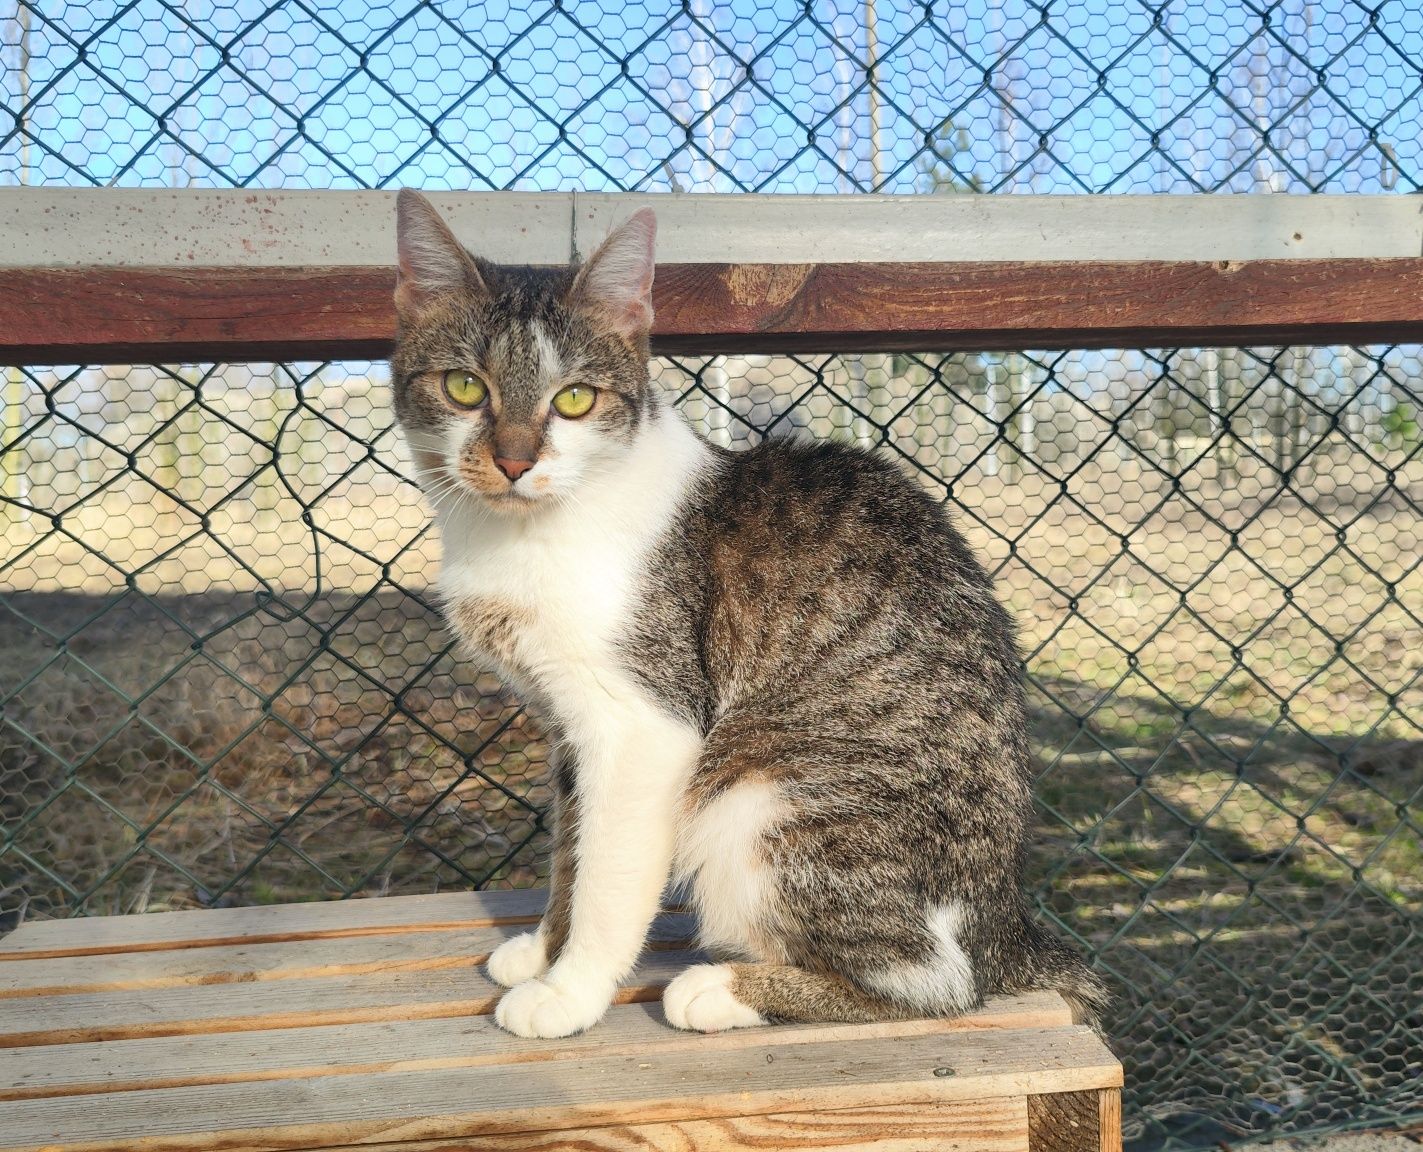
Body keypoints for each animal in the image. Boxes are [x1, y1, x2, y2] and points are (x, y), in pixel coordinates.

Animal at [392, 183, 1109, 1035]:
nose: (512, 459)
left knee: (934, 986)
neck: (517, 531)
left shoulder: (644, 724)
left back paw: (724, 990)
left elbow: (607, 876)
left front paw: (571, 991)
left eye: (574, 400)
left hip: (760, 796)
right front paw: (541, 951)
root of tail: (1006, 928)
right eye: (465, 387)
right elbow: (570, 850)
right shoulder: (565, 727)